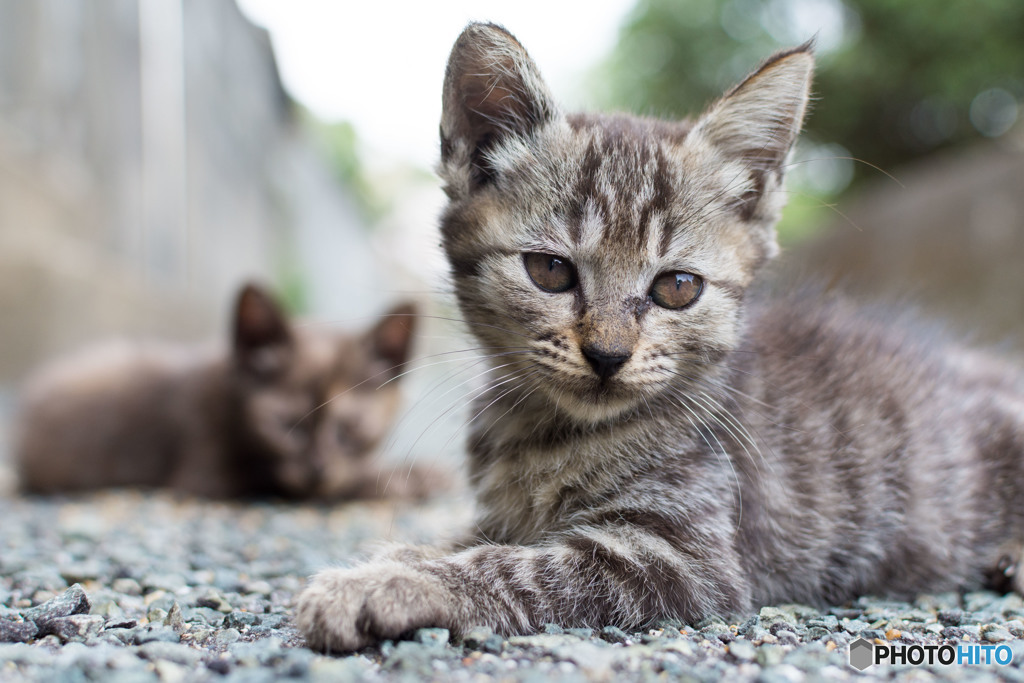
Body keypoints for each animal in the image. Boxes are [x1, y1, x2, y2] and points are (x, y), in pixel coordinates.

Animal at [296, 22, 1024, 651]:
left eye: (677, 286)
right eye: (550, 270)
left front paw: (385, 584)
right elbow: (475, 538)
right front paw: (395, 557)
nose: (608, 354)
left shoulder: (684, 557)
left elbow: (518, 566)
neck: (546, 432)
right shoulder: (508, 515)